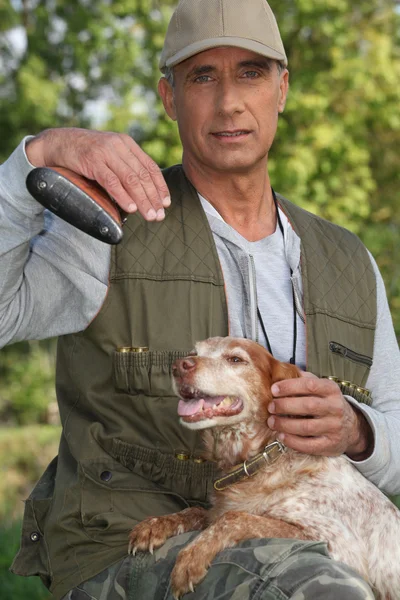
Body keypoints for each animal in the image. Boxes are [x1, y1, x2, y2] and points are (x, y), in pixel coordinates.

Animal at [128, 336, 400, 596]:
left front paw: (193, 556)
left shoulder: (337, 545)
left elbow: (234, 518)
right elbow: (198, 511)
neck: (261, 461)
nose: (179, 366)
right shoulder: (216, 510)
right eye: (194, 352)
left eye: (235, 359)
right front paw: (155, 525)